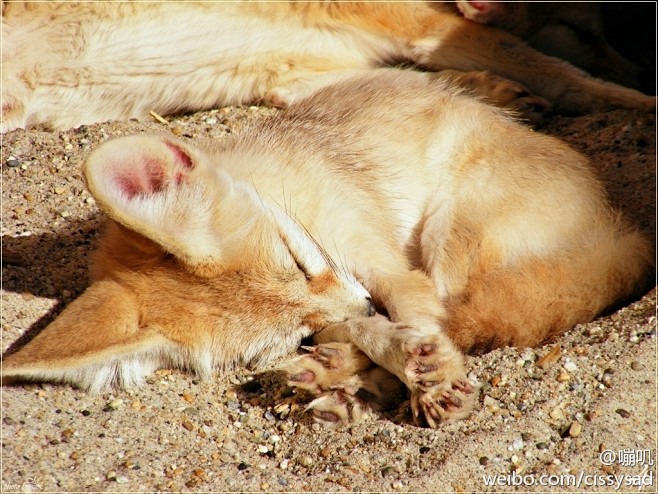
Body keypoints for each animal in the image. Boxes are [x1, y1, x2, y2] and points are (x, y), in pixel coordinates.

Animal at [1, 70, 652, 428]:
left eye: (297, 258)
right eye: (291, 334)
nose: (363, 306)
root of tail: (622, 232)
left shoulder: (383, 267)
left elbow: (407, 318)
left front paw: (415, 367)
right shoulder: (350, 299)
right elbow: (370, 328)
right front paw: (376, 360)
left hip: (449, 232)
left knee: (464, 315)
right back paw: (344, 384)